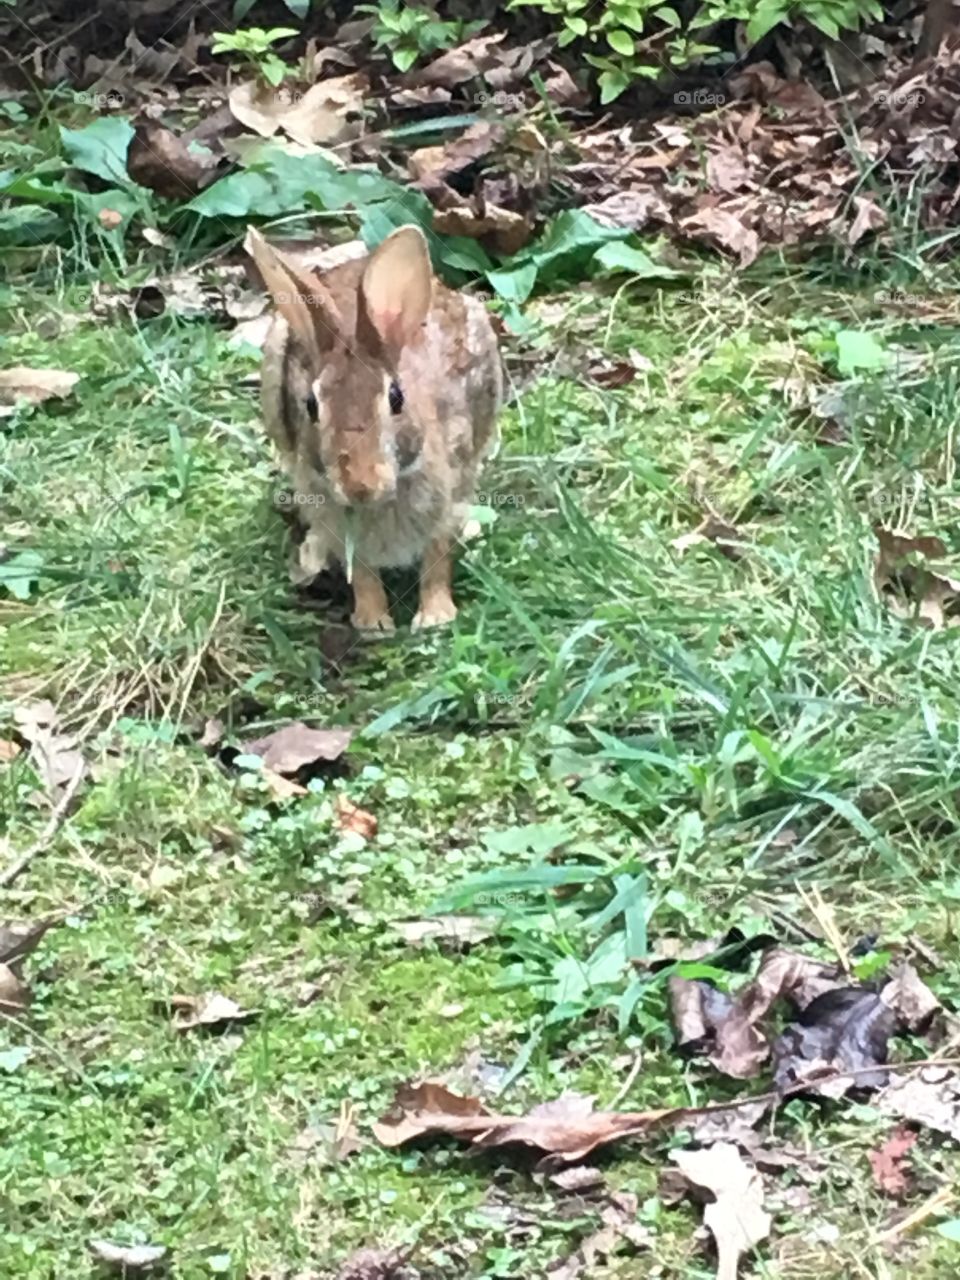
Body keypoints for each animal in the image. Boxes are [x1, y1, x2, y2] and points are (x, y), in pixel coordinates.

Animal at [248, 224, 502, 634]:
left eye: (397, 398)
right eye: (311, 405)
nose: (360, 486)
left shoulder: (450, 486)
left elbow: (437, 557)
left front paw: (434, 617)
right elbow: (363, 570)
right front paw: (372, 622)